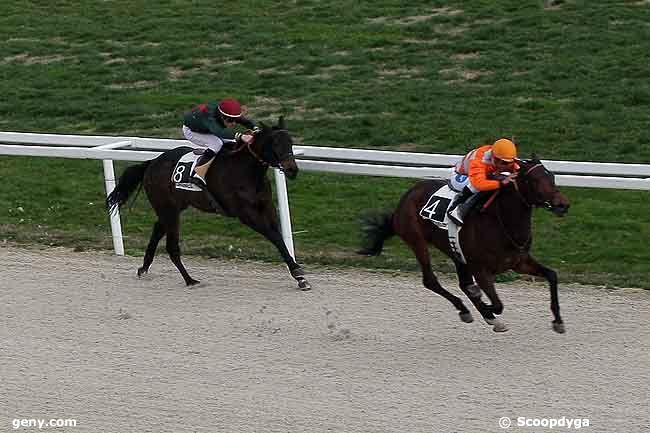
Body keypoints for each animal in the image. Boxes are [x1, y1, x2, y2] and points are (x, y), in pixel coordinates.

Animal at [105, 116, 308, 288]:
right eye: (275, 143)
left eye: (290, 141)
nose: (292, 169)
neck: (246, 171)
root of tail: (152, 163)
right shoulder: (245, 214)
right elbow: (273, 236)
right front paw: (298, 273)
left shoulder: (266, 206)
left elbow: (278, 236)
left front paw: (299, 275)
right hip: (167, 208)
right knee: (171, 245)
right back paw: (189, 280)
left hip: (173, 207)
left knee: (157, 230)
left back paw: (144, 268)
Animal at [360, 157, 568, 332]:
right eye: (534, 180)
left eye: (552, 176)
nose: (563, 205)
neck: (501, 221)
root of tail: (405, 199)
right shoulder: (480, 269)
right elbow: (496, 304)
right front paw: (487, 309)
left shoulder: (518, 262)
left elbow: (552, 275)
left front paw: (558, 321)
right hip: (417, 241)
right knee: (431, 280)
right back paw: (467, 310)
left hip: (455, 251)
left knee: (462, 283)